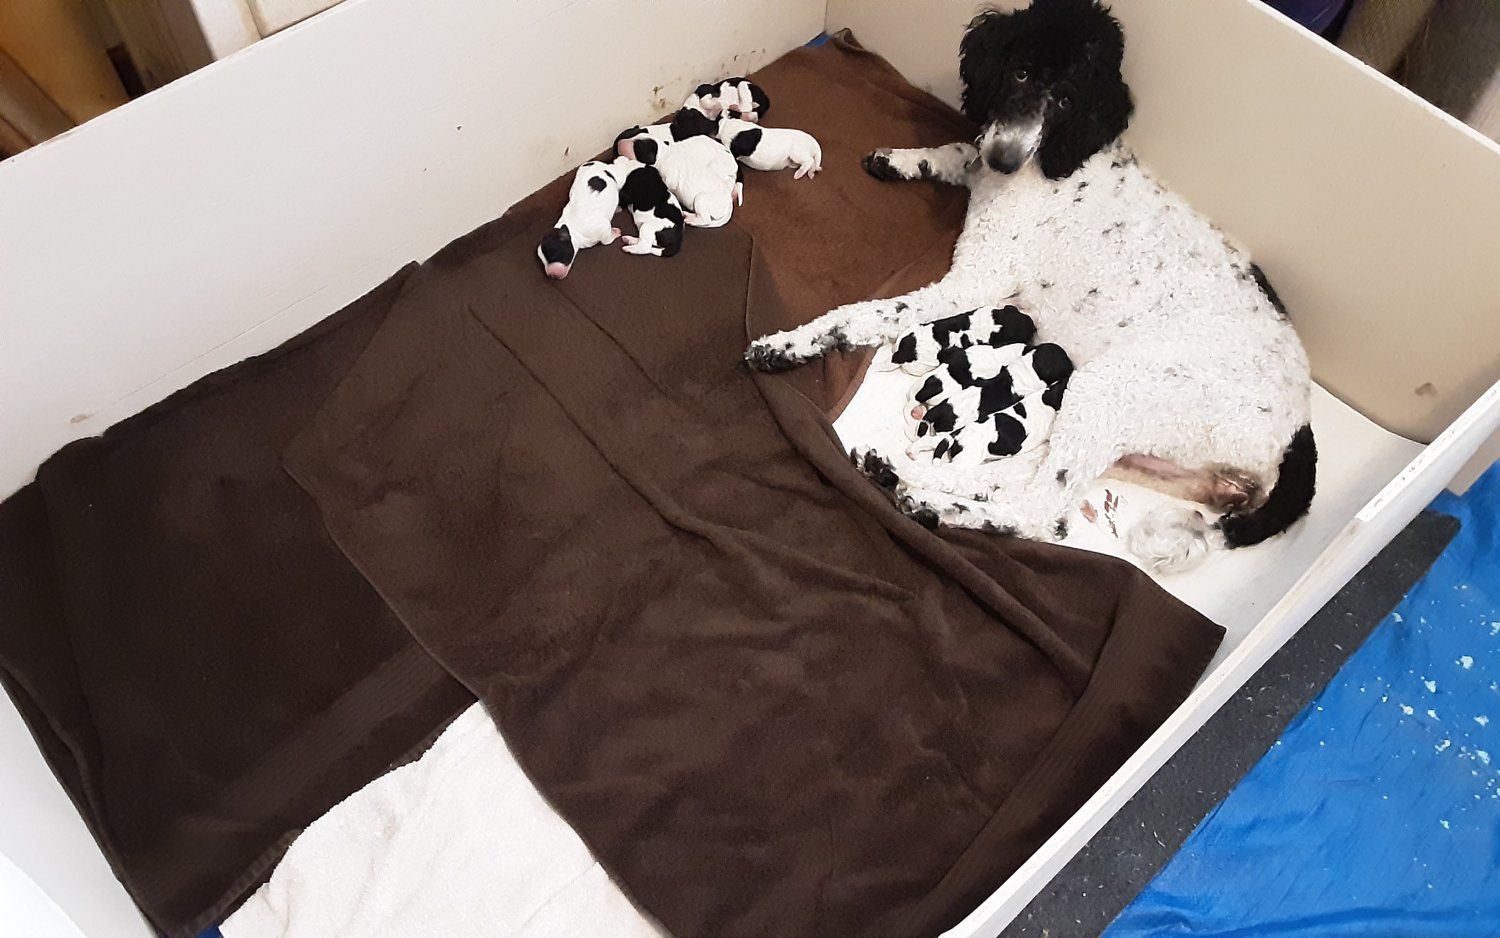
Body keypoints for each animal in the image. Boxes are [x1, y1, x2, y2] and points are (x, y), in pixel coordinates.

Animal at [745, 0, 1315, 573]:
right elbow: (959, 149)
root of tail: (1299, 422)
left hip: (1112, 389)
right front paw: (904, 158)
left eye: (1066, 100)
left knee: (1043, 515)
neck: (1057, 152)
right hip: (1136, 450)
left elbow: (865, 313)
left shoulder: (970, 282)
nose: (1006, 159)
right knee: (1023, 485)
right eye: (1020, 73)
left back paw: (930, 503)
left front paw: (788, 344)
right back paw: (902, 475)